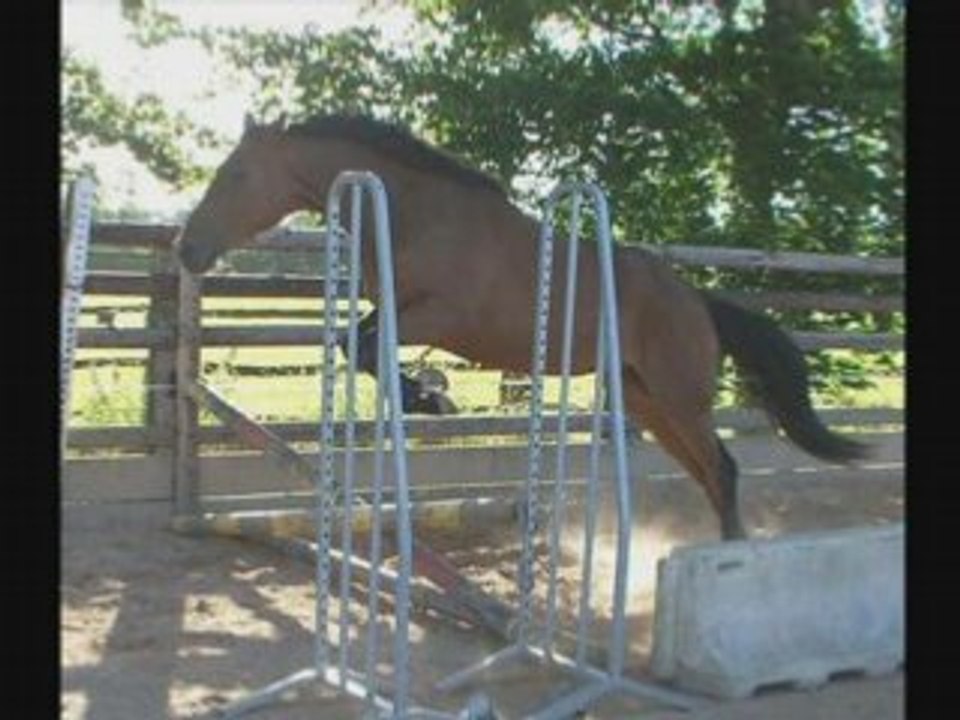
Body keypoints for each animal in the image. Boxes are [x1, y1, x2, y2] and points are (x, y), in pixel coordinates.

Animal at [176, 113, 871, 540]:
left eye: (237, 175)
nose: (188, 250)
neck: (417, 214)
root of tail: (697, 301)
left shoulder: (441, 315)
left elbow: (368, 350)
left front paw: (431, 398)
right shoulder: (399, 312)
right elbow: (358, 344)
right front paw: (428, 396)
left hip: (679, 396)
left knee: (723, 470)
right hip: (646, 398)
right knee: (707, 473)